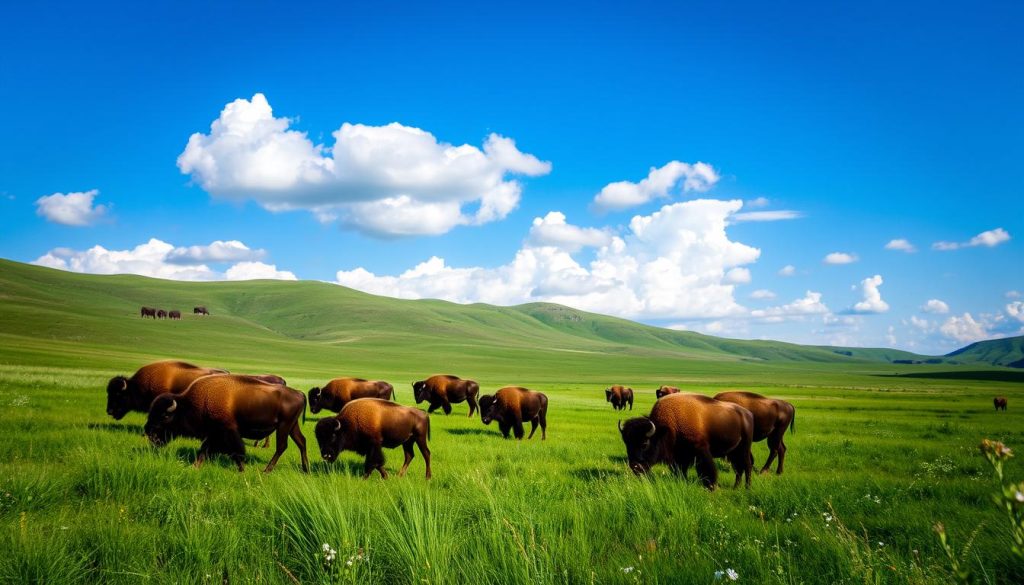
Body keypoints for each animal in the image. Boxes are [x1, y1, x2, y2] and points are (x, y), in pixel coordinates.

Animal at [145, 374, 307, 475]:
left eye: (165, 416)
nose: (148, 431)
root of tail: (299, 393)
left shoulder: (228, 431)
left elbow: (236, 451)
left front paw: (242, 470)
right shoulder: (213, 433)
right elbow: (204, 450)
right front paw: (195, 467)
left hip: (284, 426)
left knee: (282, 446)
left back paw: (266, 470)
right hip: (292, 426)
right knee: (301, 442)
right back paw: (305, 469)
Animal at [614, 393, 753, 489]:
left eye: (644, 444)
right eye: (627, 444)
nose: (635, 467)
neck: (667, 428)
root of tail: (747, 414)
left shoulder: (700, 451)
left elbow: (707, 469)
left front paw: (711, 486)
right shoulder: (679, 457)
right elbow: (680, 470)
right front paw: (682, 481)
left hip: (744, 448)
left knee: (746, 465)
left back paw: (747, 487)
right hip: (733, 452)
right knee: (739, 468)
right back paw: (736, 487)